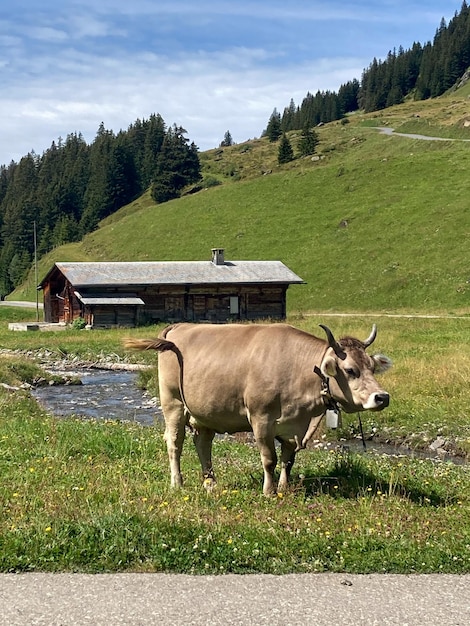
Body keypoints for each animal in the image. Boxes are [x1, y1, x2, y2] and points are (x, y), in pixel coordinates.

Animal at [123, 322, 392, 492]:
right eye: (350, 370)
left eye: (371, 367)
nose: (382, 397)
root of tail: (179, 327)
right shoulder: (261, 418)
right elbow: (269, 459)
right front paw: (269, 491)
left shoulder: (294, 426)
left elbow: (288, 460)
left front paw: (283, 487)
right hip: (173, 403)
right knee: (174, 443)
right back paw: (177, 483)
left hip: (204, 411)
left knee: (202, 443)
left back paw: (210, 483)